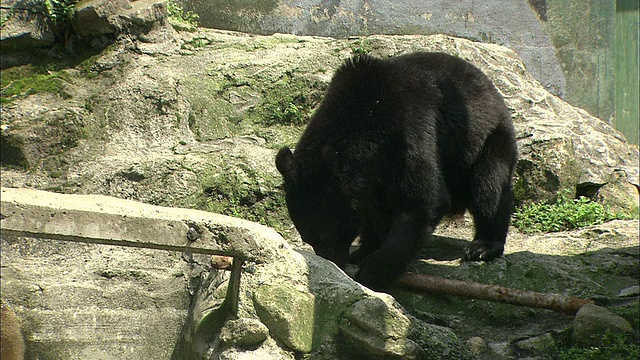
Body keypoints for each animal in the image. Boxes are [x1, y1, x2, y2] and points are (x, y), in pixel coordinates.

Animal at [278, 52, 516, 290]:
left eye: (328, 232)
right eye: (307, 237)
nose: (333, 262)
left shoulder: (408, 132)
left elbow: (423, 202)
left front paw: (371, 273)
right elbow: (373, 212)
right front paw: (364, 251)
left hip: (485, 140)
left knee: (489, 187)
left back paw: (482, 246)